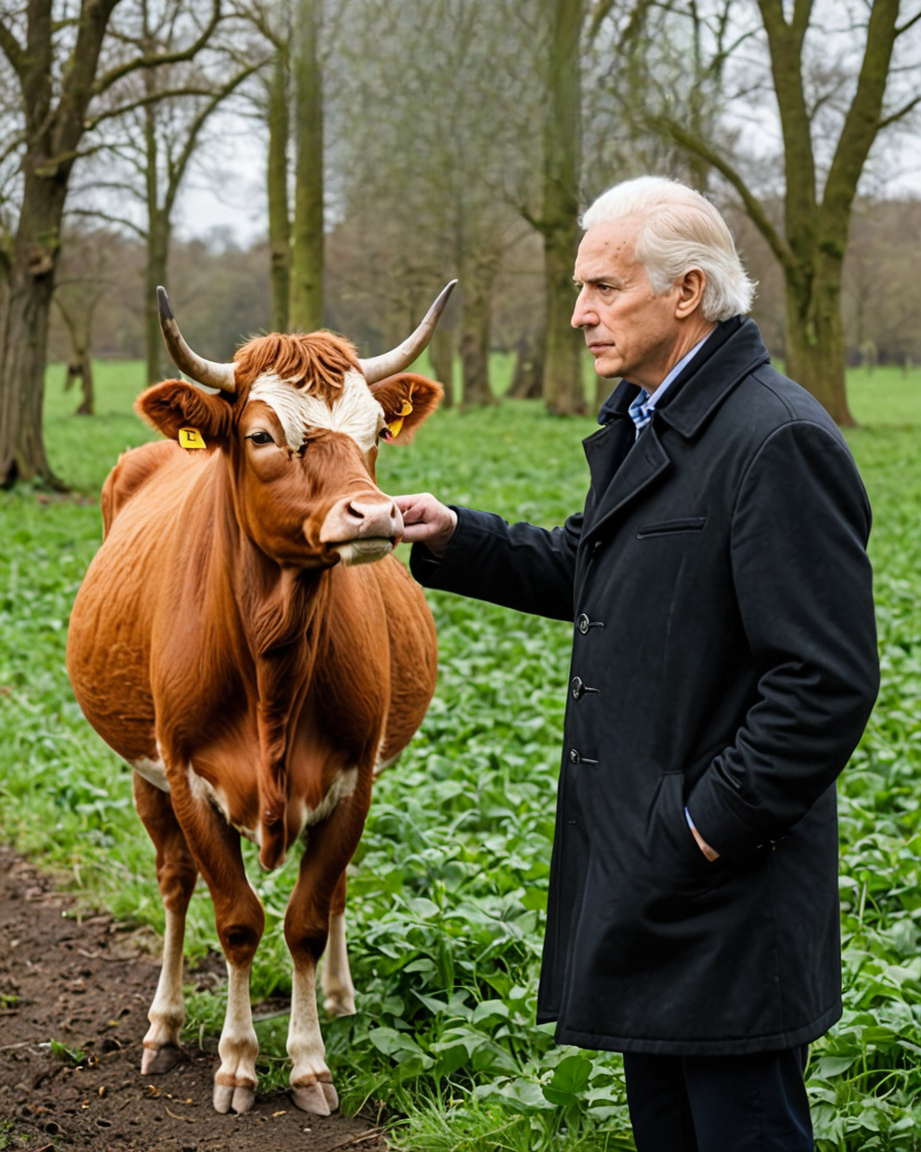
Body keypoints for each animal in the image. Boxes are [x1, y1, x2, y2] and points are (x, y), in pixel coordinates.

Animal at [64, 285, 454, 1115]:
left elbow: (306, 917)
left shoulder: (353, 776)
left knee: (333, 890)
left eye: (373, 431)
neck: (274, 655)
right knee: (174, 885)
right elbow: (236, 919)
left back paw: (338, 999)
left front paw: (308, 1061)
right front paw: (237, 1060)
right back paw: (164, 1025)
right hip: (143, 776)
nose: (374, 514)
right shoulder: (186, 776)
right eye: (260, 435)